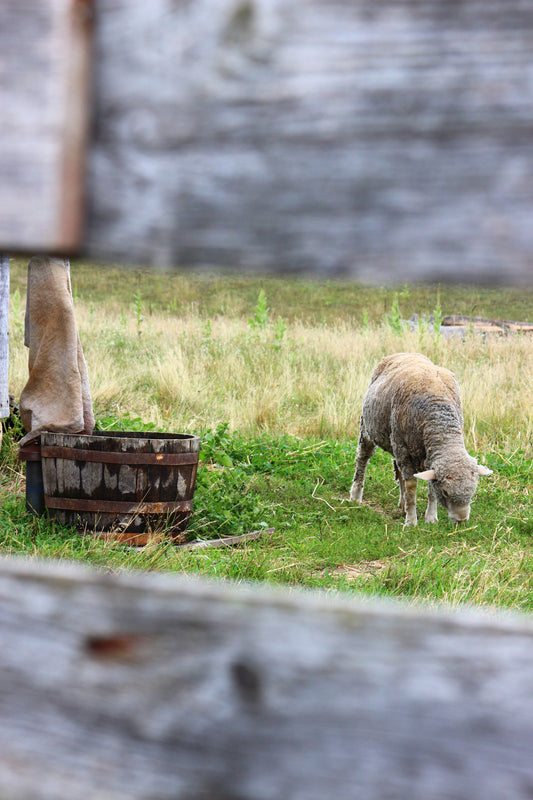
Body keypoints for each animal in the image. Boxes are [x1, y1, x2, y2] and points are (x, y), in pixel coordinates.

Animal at [350, 352, 490, 524]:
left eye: (473, 491)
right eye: (446, 492)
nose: (461, 520)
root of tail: (405, 353)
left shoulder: (426, 458)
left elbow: (430, 491)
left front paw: (431, 518)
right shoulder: (403, 449)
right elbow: (411, 489)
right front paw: (411, 521)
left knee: (398, 470)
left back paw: (402, 505)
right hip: (368, 429)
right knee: (362, 459)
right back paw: (355, 496)